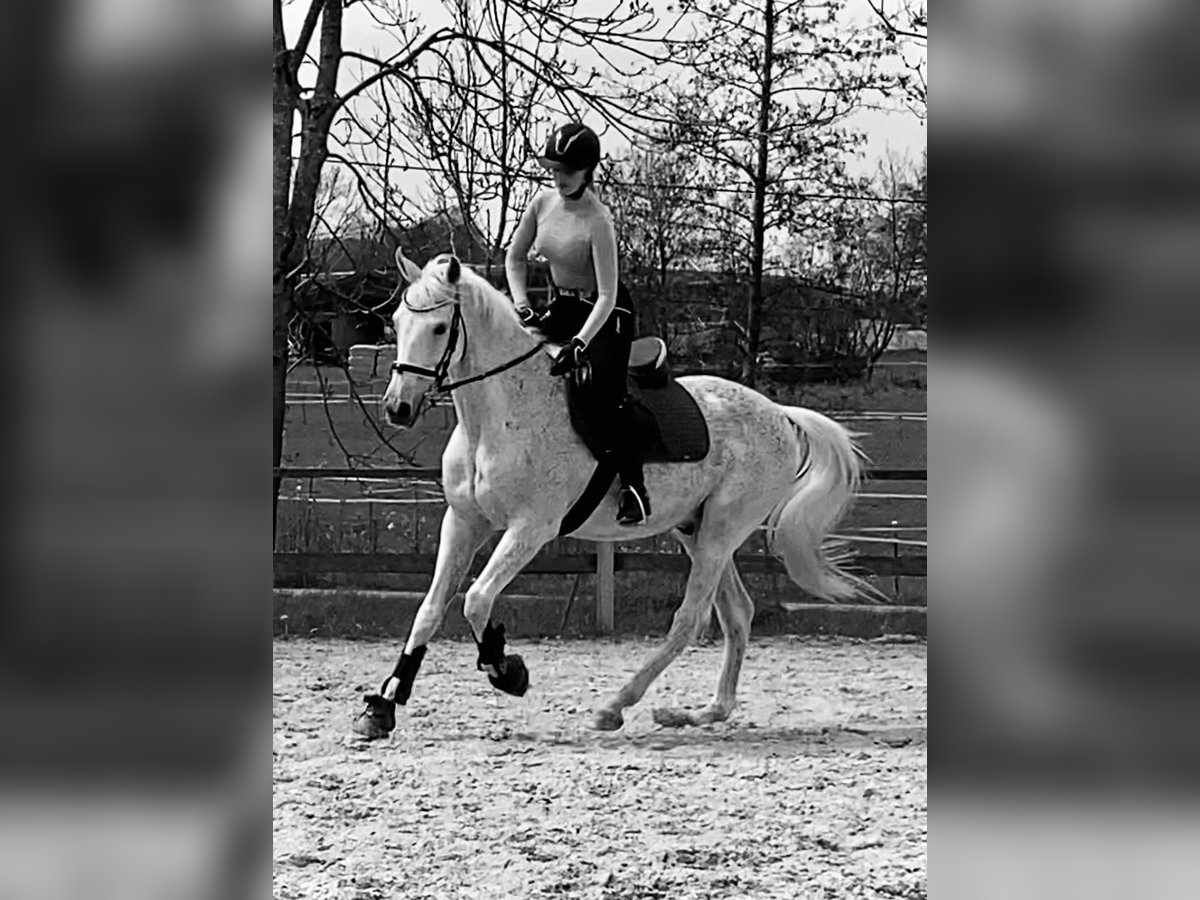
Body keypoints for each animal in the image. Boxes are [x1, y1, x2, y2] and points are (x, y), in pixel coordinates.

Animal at [350, 248, 868, 739]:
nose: (397, 408)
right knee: (737, 614)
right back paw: (700, 713)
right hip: (696, 530)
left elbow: (476, 599)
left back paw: (616, 706)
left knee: (691, 619)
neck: (499, 416)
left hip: (722, 532)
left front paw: (507, 670)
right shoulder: (462, 522)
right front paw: (383, 707)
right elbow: (429, 610)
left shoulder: (531, 529)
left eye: (440, 327)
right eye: (397, 322)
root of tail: (780, 414)